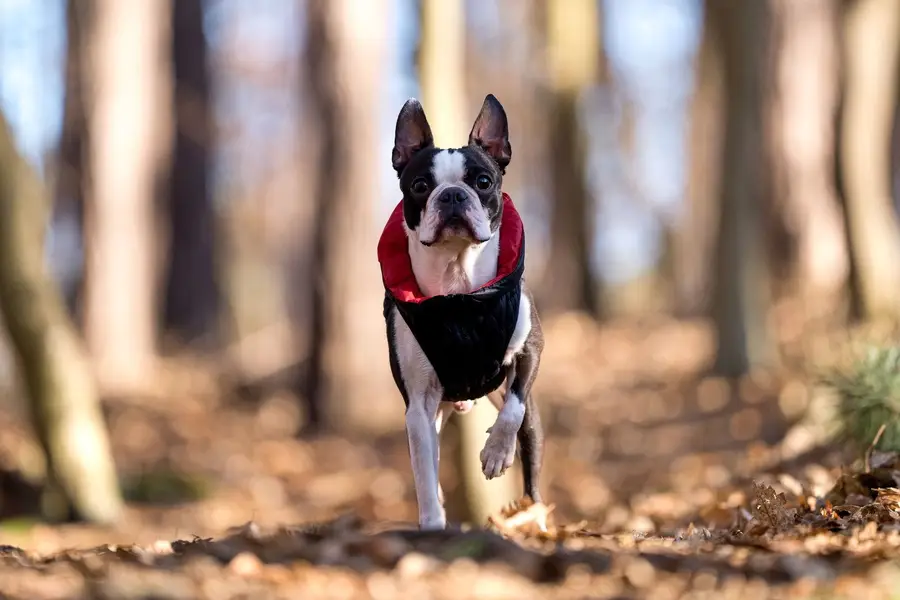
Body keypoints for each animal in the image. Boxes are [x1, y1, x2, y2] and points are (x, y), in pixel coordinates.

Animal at [378, 94, 544, 528]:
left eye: (483, 182)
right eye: (420, 186)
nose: (452, 194)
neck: (460, 294)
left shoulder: (531, 348)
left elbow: (514, 407)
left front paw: (497, 452)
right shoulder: (418, 405)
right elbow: (424, 474)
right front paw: (433, 526)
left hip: (530, 423)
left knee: (532, 466)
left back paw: (537, 518)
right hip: (435, 412)